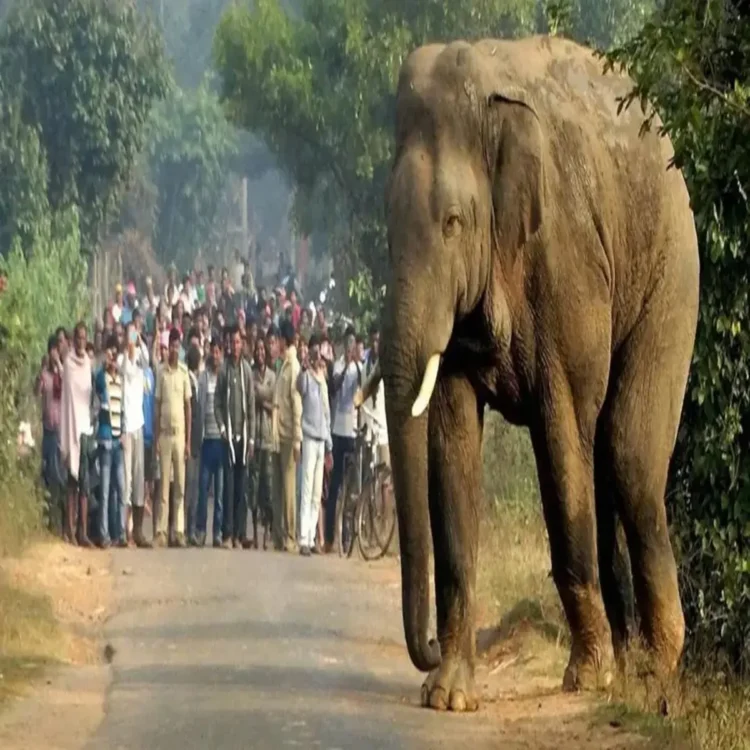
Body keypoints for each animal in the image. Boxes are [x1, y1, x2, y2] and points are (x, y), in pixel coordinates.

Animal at [377, 35, 700, 712]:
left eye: (453, 222)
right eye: (387, 224)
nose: (423, 650)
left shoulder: (565, 261)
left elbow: (561, 428)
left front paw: (587, 678)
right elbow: (452, 439)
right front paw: (448, 696)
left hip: (674, 273)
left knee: (627, 455)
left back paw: (652, 671)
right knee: (605, 455)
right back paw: (629, 663)